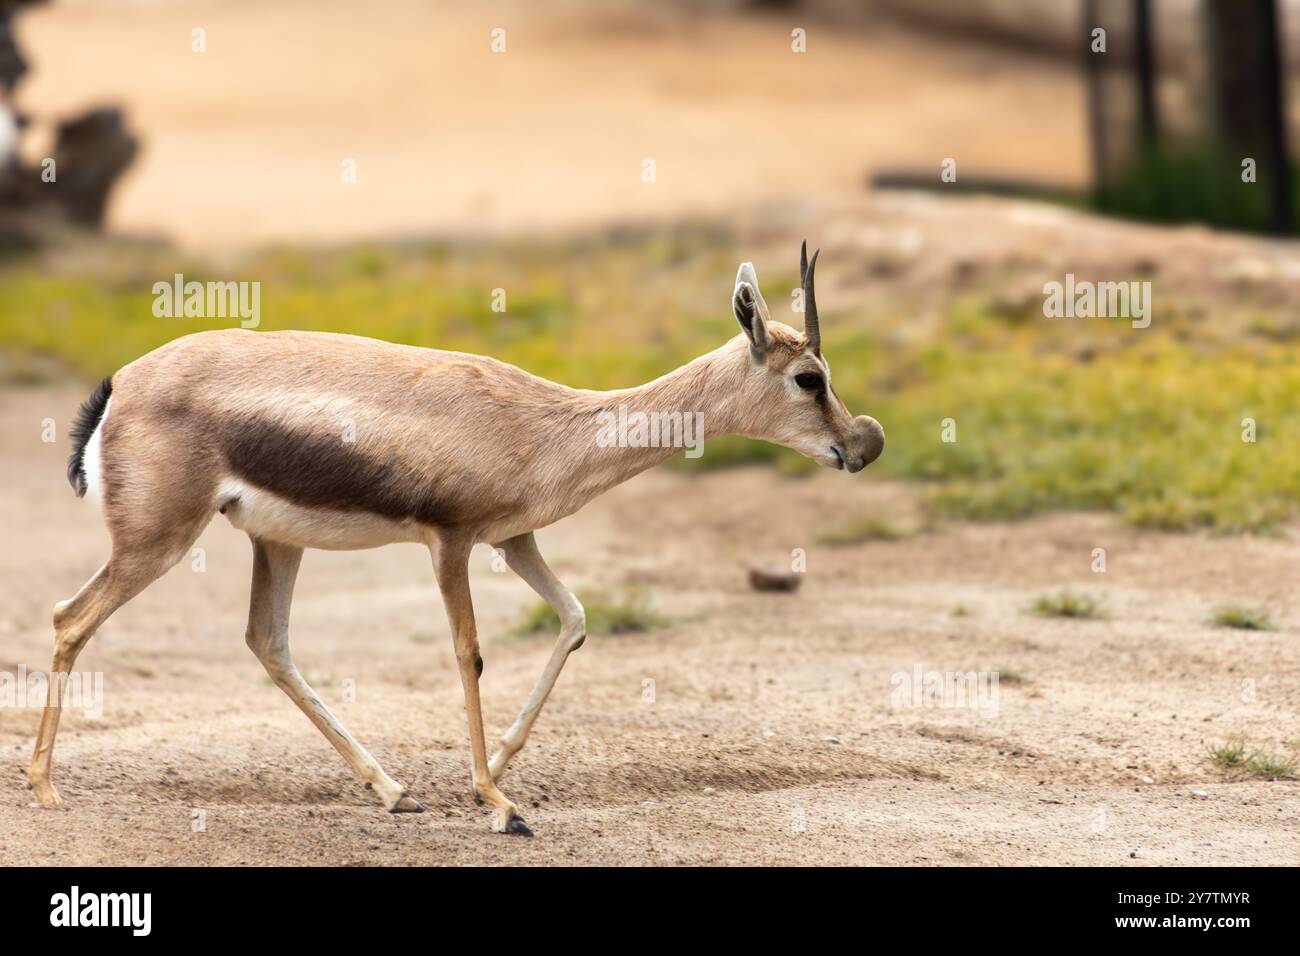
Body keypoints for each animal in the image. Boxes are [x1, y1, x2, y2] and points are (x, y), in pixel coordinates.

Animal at [30, 242, 883, 835]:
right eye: (809, 378)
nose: (863, 445)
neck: (545, 427)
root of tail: (120, 384)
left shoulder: (516, 540)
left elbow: (575, 620)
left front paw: (498, 771)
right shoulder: (452, 543)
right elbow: (469, 653)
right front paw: (500, 804)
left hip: (275, 542)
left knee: (267, 643)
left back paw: (394, 792)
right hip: (159, 542)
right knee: (70, 618)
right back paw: (42, 786)